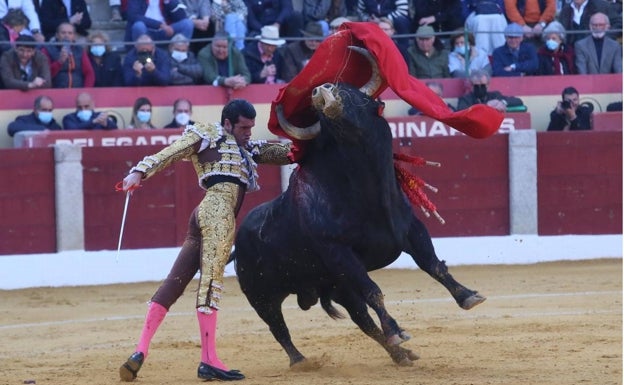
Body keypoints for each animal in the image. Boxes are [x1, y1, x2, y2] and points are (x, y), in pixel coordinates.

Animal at [232, 48, 486, 366]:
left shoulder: (412, 230)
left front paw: (467, 296)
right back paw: (301, 361)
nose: (320, 90)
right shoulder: (340, 254)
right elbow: (374, 291)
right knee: (279, 327)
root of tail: (239, 237)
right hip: (262, 295)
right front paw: (397, 331)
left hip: (336, 287)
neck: (369, 193)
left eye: (353, 95)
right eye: (323, 121)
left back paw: (401, 355)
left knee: (362, 319)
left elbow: (433, 265)